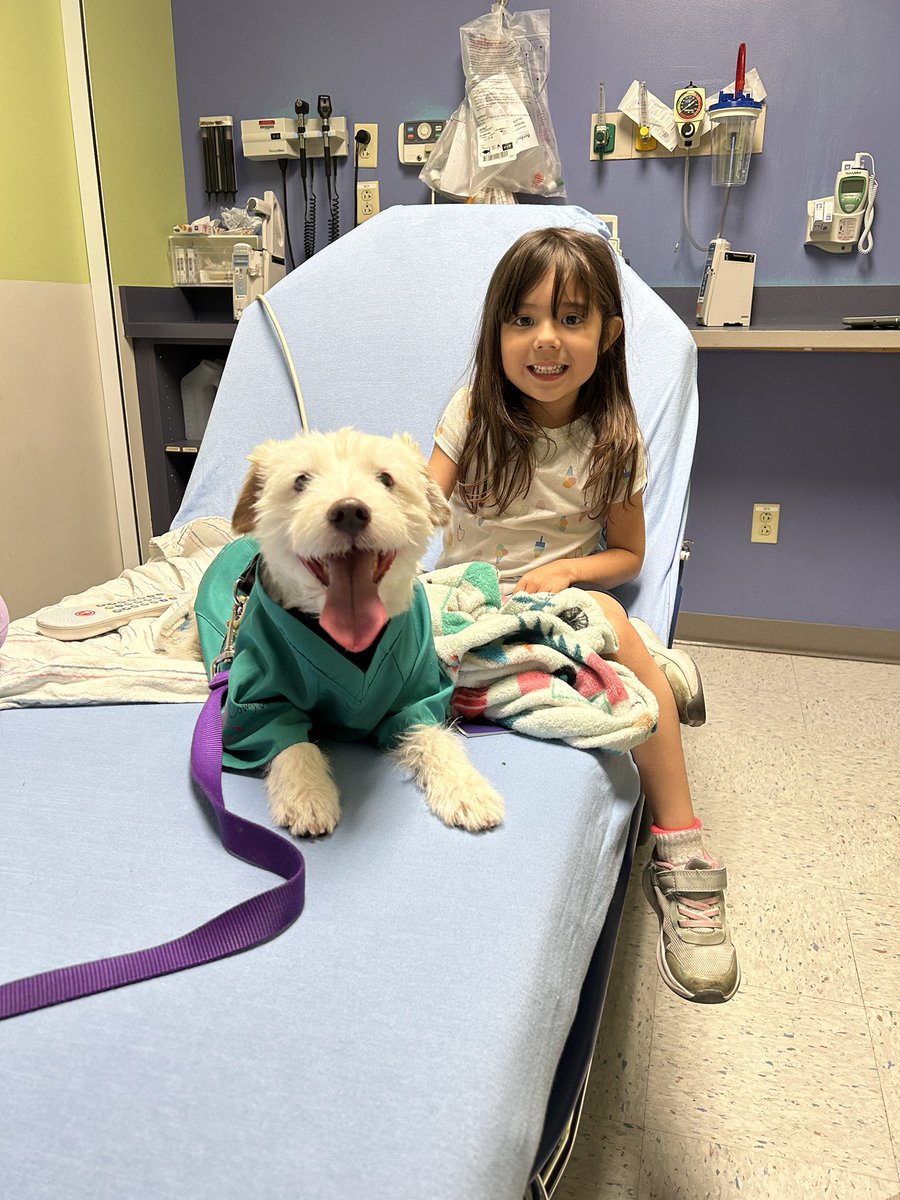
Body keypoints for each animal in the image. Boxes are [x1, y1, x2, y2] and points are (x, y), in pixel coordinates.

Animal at [224, 429, 508, 835]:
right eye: (300, 481)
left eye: (386, 479)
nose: (348, 510)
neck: (349, 642)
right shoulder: (258, 697)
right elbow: (288, 740)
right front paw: (307, 794)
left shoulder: (416, 695)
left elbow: (433, 736)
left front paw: (464, 787)